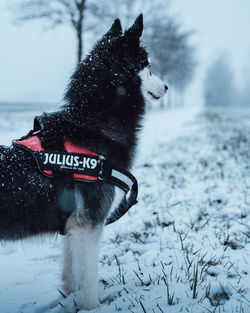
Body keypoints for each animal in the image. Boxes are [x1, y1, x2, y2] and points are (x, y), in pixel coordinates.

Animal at [0, 14, 168, 308]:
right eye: (147, 67)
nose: (167, 86)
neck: (93, 129)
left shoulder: (73, 226)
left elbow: (70, 272)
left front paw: (68, 298)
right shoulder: (90, 225)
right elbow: (88, 279)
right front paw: (92, 308)